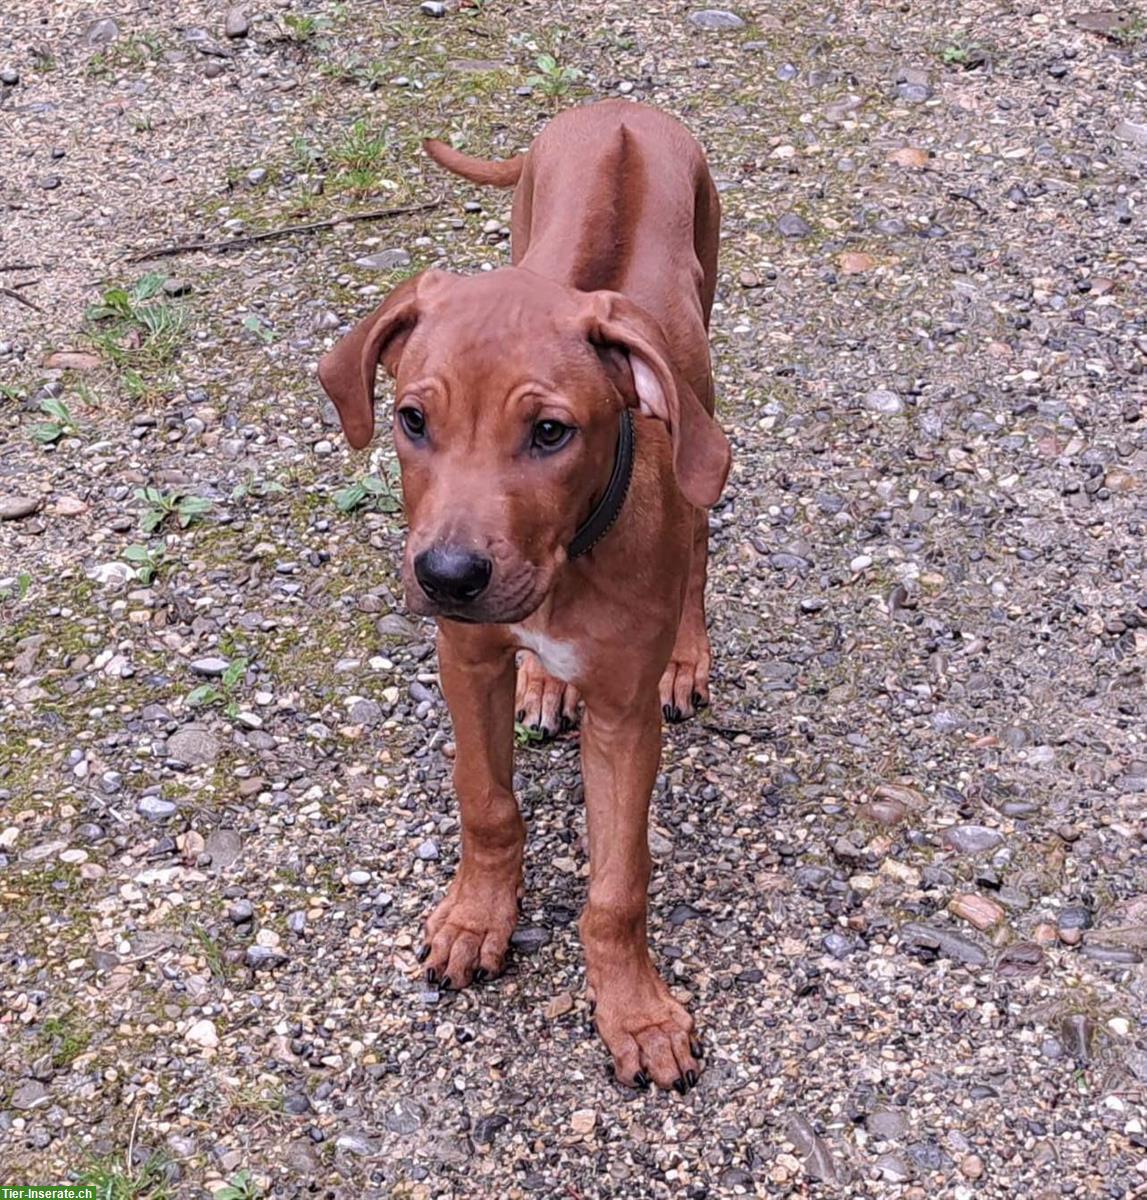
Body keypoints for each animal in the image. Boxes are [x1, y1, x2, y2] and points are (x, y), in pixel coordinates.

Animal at [316, 105, 724, 1099]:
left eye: (549, 433)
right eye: (412, 420)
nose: (448, 575)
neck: (568, 556)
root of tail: (618, 108)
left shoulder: (623, 714)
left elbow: (619, 883)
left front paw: (635, 1011)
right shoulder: (465, 656)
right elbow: (485, 802)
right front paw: (475, 919)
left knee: (699, 540)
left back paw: (685, 655)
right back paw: (543, 683)